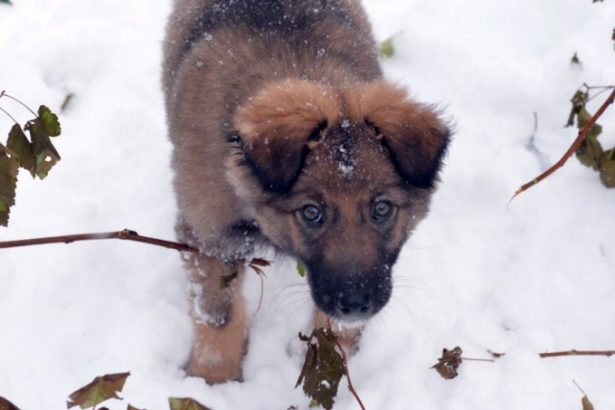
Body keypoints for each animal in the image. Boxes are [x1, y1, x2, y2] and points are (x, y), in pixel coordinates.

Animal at [162, 0, 452, 384]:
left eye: (382, 208)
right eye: (311, 212)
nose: (356, 302)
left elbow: (333, 328)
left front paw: (325, 363)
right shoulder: (208, 234)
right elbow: (218, 315)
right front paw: (211, 379)